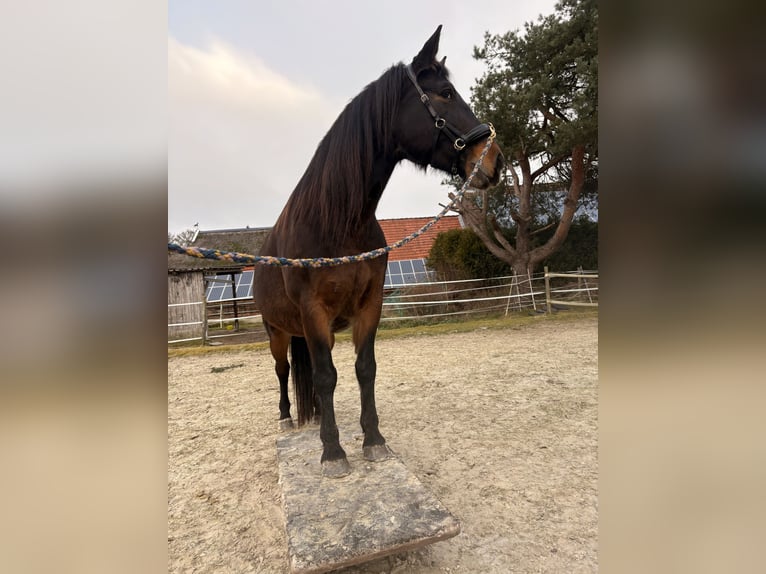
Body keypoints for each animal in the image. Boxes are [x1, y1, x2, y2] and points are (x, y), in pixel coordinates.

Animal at [253, 25, 504, 478]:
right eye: (445, 93)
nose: (494, 159)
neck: (338, 222)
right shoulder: (313, 312)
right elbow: (325, 376)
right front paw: (333, 452)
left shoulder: (370, 305)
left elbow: (362, 370)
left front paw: (373, 440)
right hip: (276, 331)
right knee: (283, 371)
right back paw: (286, 417)